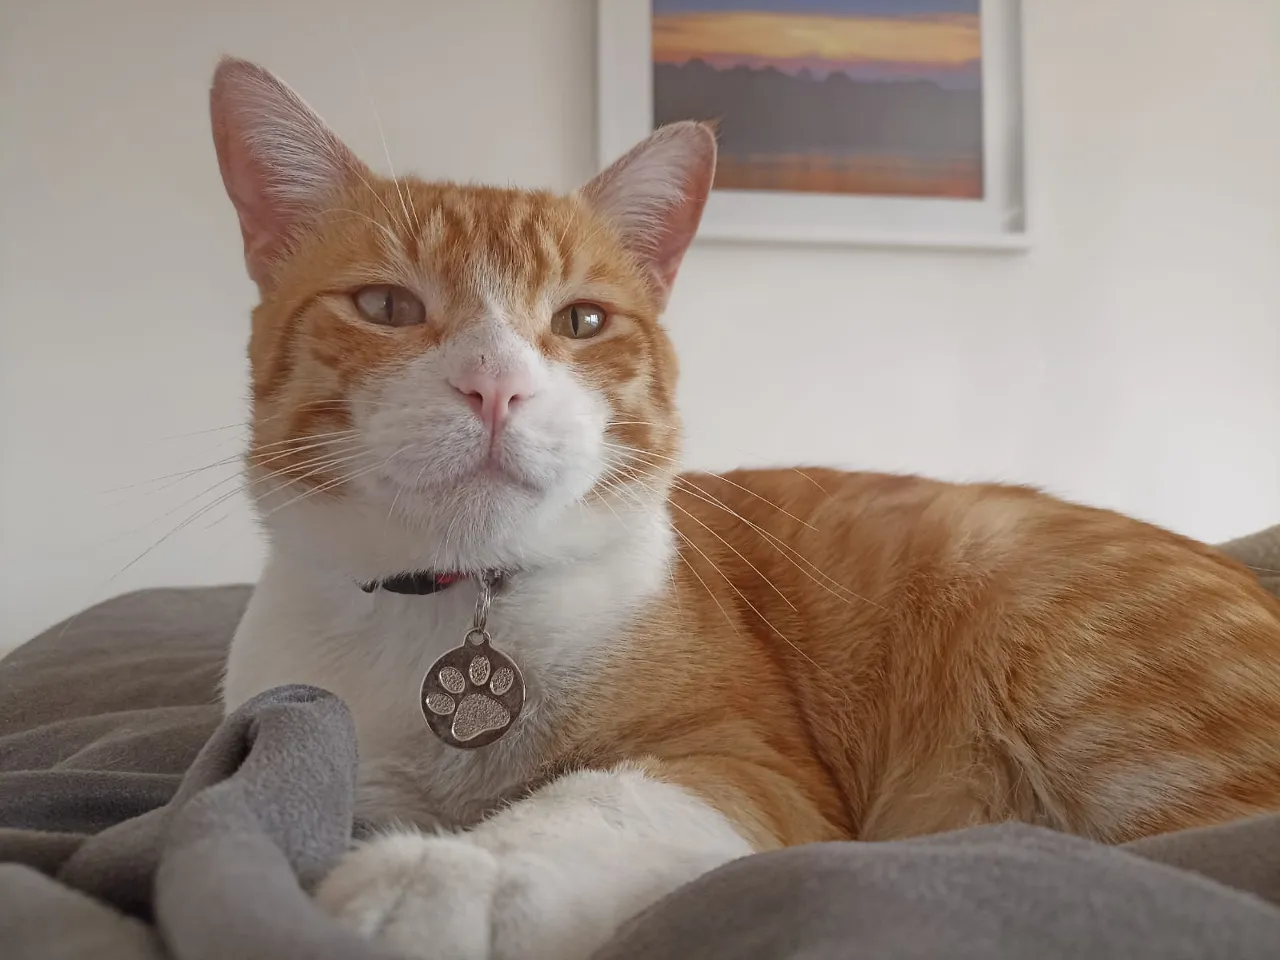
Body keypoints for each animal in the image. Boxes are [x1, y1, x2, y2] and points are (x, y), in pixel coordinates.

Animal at [212, 58, 1280, 960]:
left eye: (582, 320)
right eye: (387, 307)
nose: (496, 387)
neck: (461, 607)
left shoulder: (751, 765)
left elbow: (597, 800)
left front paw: (444, 876)